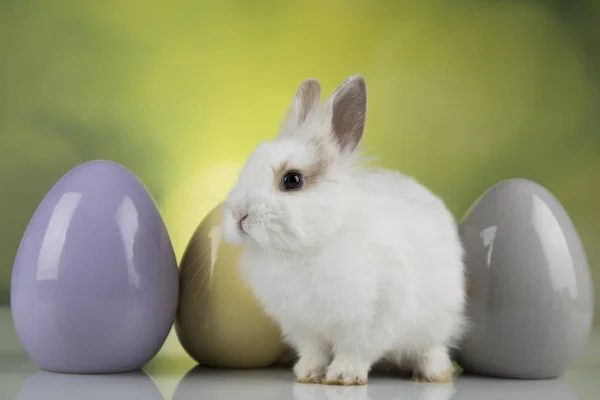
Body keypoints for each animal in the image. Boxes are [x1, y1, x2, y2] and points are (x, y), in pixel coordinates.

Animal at [221, 74, 468, 384]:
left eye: (292, 180)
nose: (238, 215)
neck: (311, 246)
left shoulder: (368, 318)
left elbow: (355, 350)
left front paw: (343, 376)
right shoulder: (303, 324)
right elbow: (314, 351)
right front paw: (308, 374)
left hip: (436, 323)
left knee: (432, 348)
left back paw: (432, 374)